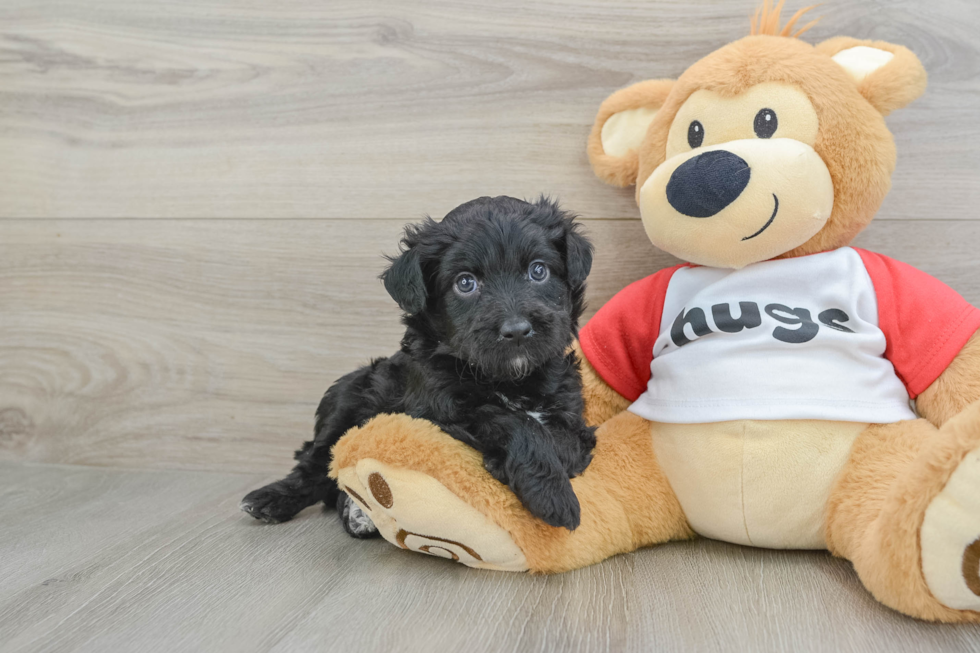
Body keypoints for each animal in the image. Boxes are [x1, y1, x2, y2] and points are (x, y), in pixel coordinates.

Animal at [241, 196, 600, 532]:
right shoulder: (436, 411)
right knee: (317, 462)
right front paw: (552, 497)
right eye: (465, 283)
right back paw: (272, 500)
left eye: (538, 271)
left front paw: (530, 472)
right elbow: (507, 419)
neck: (506, 379)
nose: (517, 330)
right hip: (346, 393)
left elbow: (564, 439)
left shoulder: (571, 413)